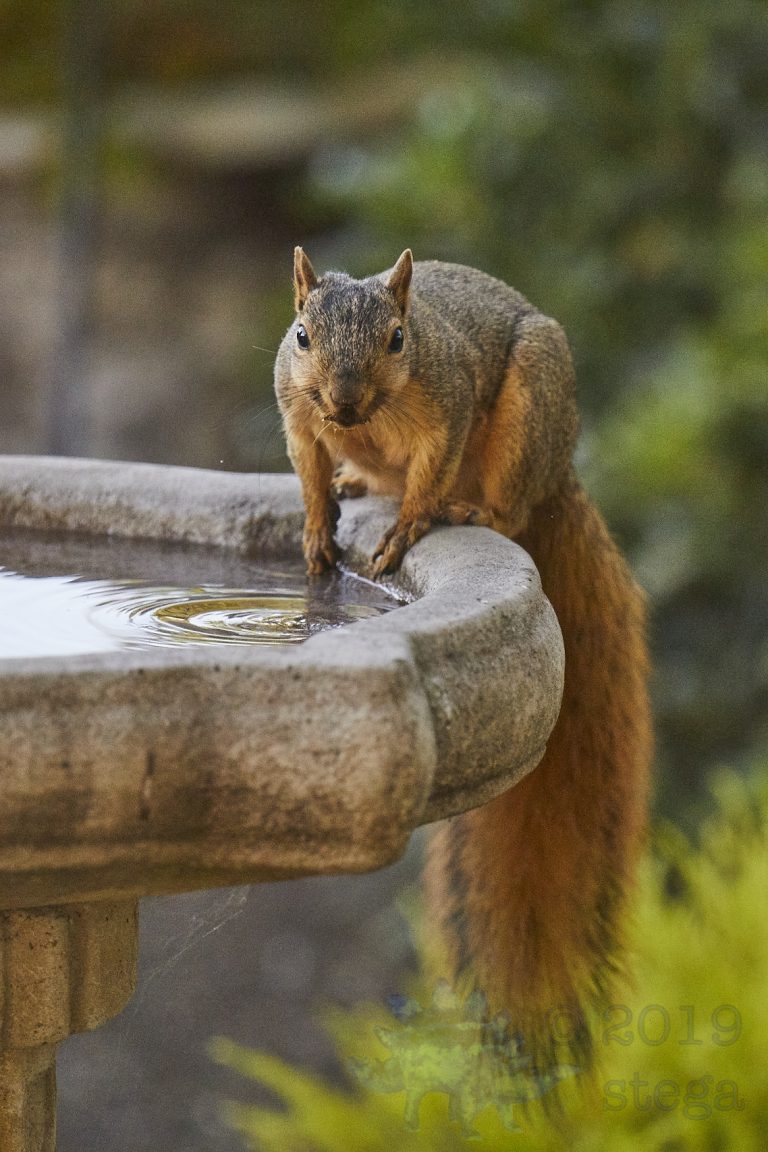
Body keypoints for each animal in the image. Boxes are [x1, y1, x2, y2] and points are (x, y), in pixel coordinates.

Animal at [274, 247, 653, 1068]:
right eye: (301, 335)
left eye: (398, 339)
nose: (343, 403)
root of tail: (560, 473)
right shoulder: (298, 414)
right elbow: (309, 469)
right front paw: (318, 525)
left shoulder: (444, 410)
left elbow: (426, 473)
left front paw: (405, 530)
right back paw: (358, 479)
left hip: (527, 418)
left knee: (504, 507)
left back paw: (465, 510)